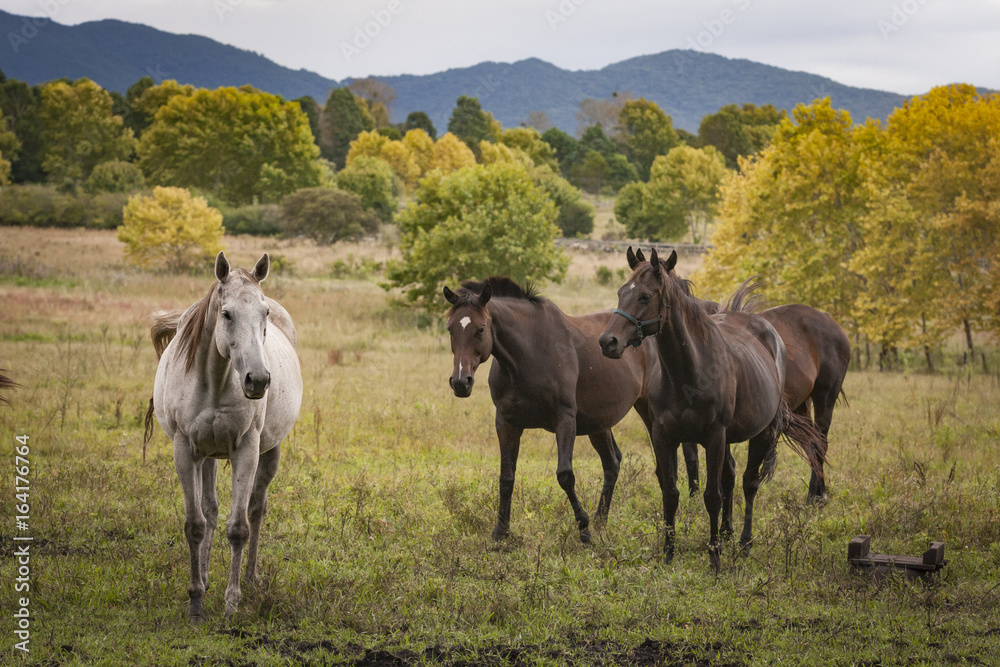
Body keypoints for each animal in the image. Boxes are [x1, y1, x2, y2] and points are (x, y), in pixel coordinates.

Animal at [144, 251, 302, 621]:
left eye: (264, 313)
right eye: (227, 313)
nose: (258, 380)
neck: (215, 381)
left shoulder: (246, 450)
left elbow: (238, 527)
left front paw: (232, 604)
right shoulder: (185, 451)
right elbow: (195, 524)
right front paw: (196, 601)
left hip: (269, 451)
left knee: (257, 508)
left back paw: (252, 577)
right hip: (207, 456)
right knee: (210, 510)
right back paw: (203, 575)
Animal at [443, 276, 658, 543]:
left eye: (481, 329)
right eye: (450, 329)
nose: (461, 383)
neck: (528, 355)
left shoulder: (564, 421)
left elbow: (565, 475)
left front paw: (583, 528)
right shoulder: (506, 423)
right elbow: (506, 477)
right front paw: (501, 532)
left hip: (647, 409)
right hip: (599, 424)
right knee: (612, 462)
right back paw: (601, 522)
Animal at [598, 248, 825, 570]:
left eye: (644, 296)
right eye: (620, 292)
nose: (608, 342)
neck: (687, 373)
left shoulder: (714, 438)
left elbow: (712, 496)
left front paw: (714, 558)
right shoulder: (664, 438)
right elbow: (671, 493)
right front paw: (669, 553)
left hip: (763, 433)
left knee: (748, 483)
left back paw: (743, 542)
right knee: (730, 476)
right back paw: (728, 533)